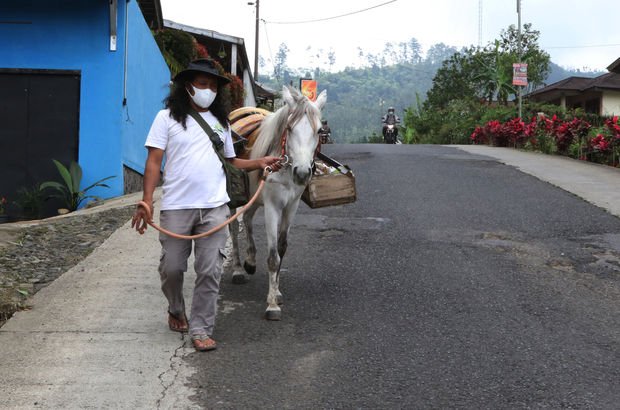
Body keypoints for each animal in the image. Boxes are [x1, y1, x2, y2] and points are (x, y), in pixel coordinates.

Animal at [229, 86, 326, 320]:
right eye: (289, 128)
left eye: (319, 131)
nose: (302, 173)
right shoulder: (272, 207)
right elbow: (273, 256)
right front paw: (272, 305)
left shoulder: (292, 206)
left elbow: (281, 249)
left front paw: (277, 292)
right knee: (234, 227)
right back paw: (238, 269)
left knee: (247, 219)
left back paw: (250, 261)